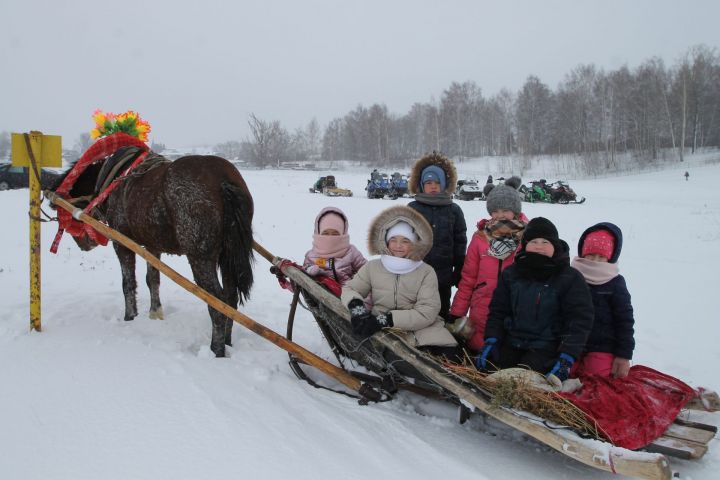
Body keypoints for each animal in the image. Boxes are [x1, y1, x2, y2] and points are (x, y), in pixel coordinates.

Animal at [54, 144, 255, 358]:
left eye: (63, 213)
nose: (83, 244)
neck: (113, 180)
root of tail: (222, 178)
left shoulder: (122, 243)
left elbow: (128, 283)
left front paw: (130, 317)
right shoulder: (153, 246)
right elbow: (152, 280)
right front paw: (155, 313)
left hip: (200, 258)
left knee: (217, 302)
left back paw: (217, 350)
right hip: (227, 256)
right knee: (230, 299)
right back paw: (227, 341)